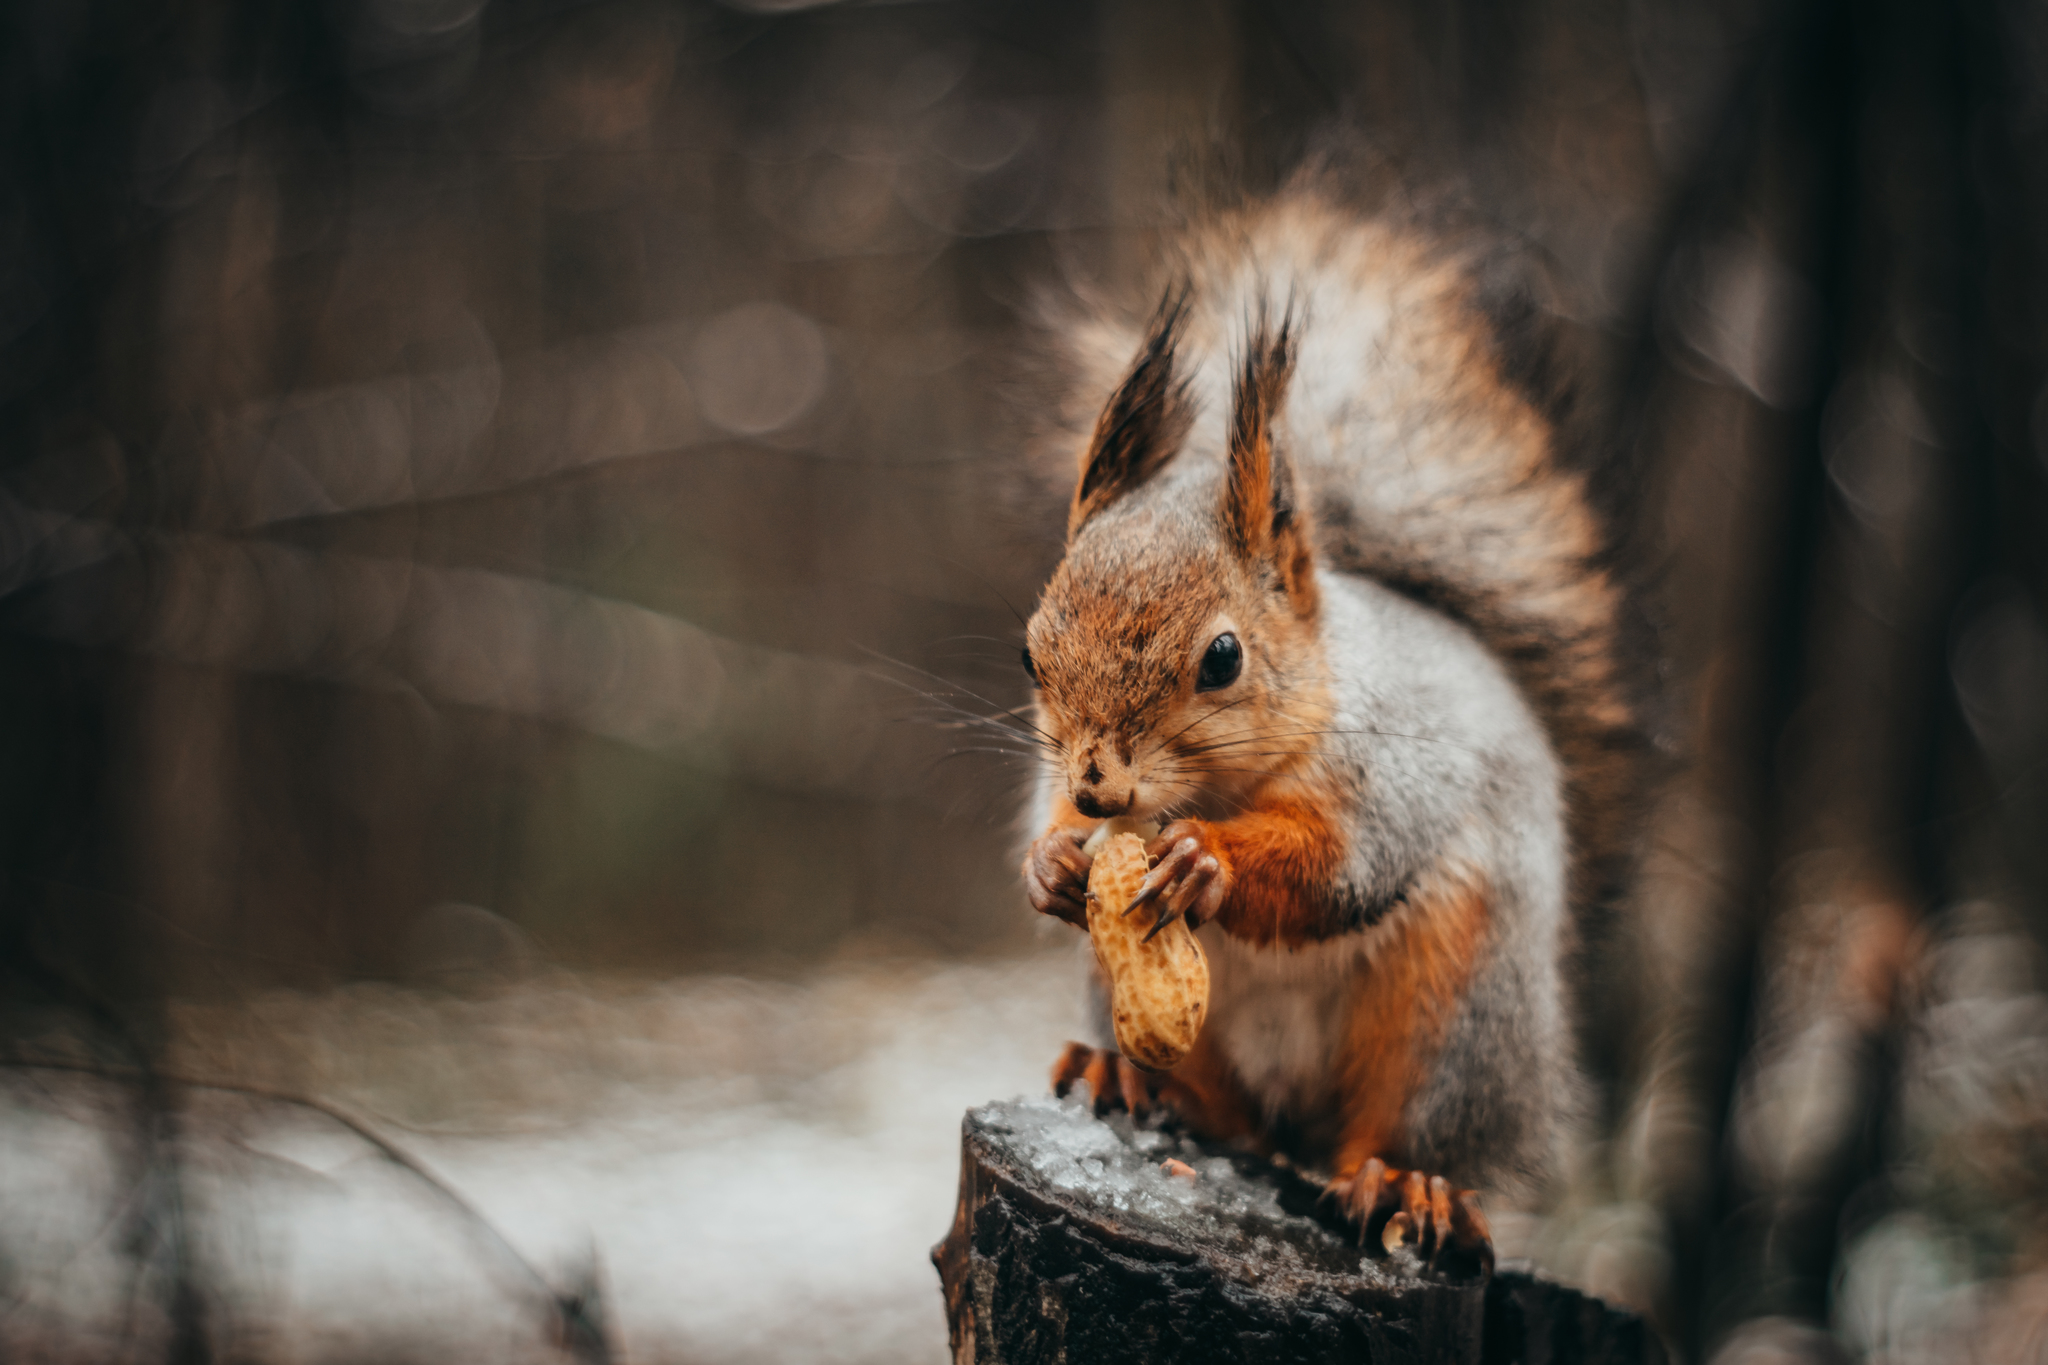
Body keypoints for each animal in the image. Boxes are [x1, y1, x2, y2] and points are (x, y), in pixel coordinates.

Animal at [1019, 167, 1646, 1268]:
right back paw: (1129, 1076)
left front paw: (1205, 861)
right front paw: (1053, 863)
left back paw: (1405, 1182)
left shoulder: (1394, 771)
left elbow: (1338, 866)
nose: (1097, 789)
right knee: (1218, 1113)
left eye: (1222, 659)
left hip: (1455, 1015)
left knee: (1407, 1128)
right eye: (1027, 651)